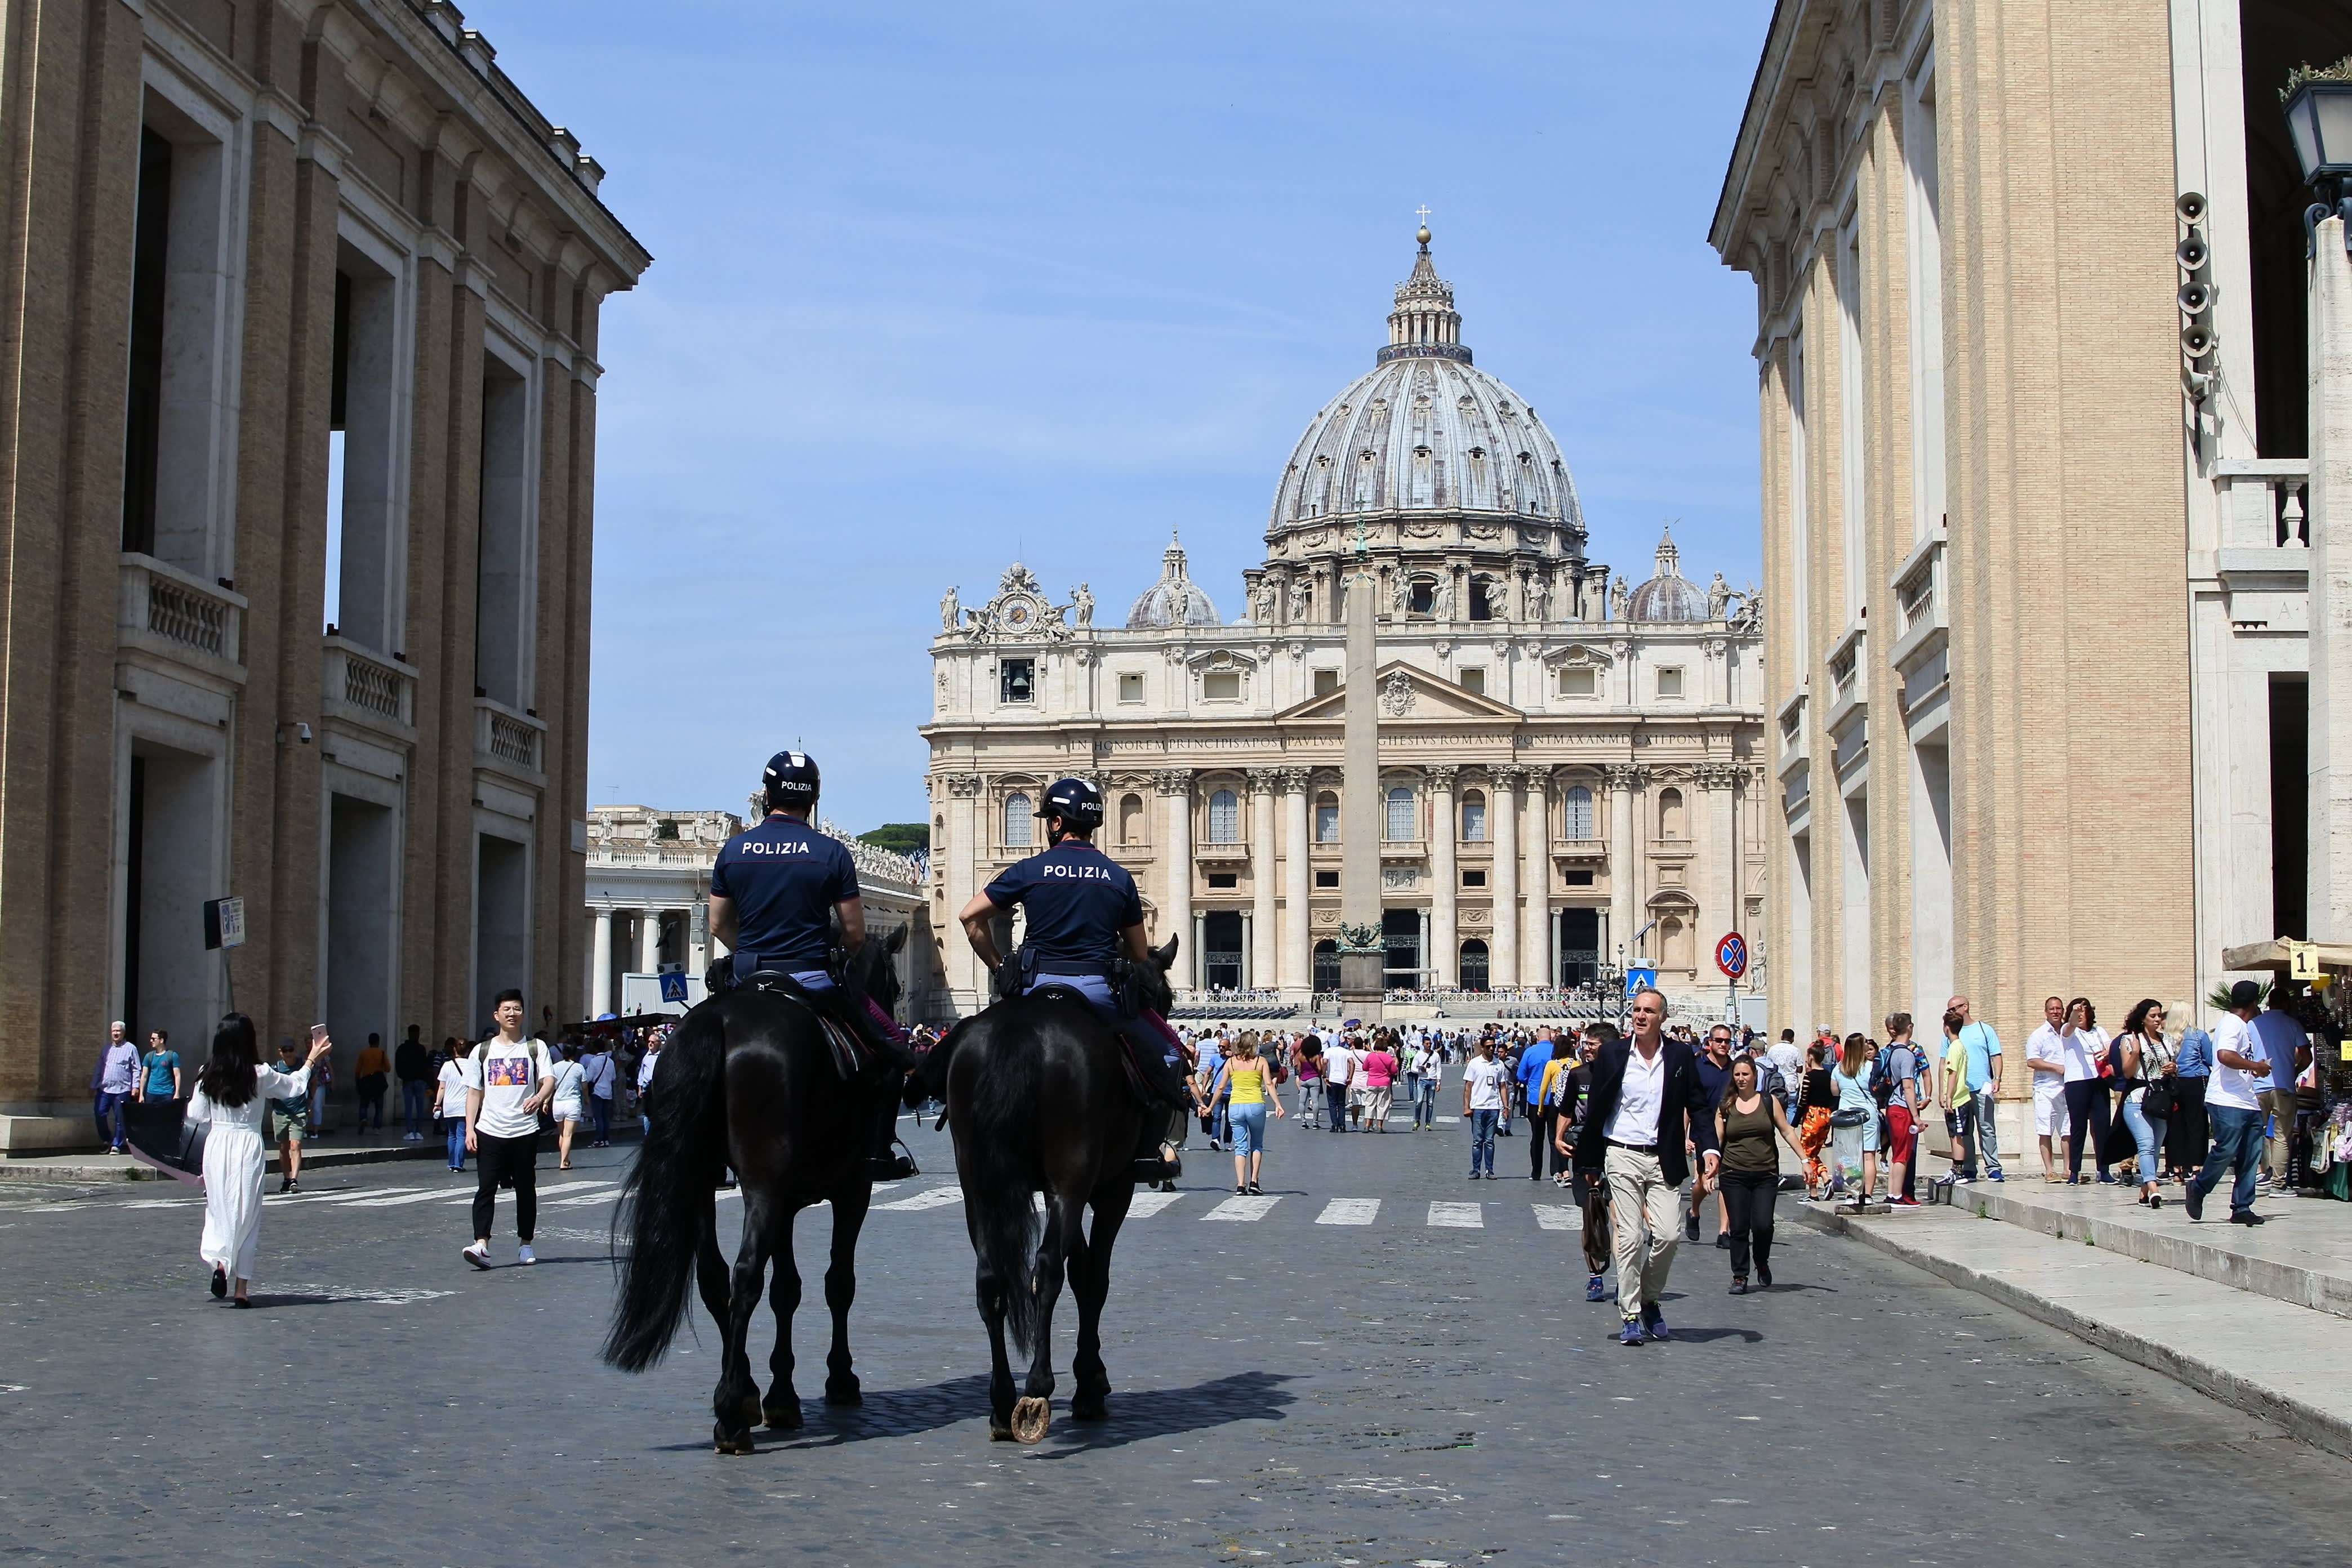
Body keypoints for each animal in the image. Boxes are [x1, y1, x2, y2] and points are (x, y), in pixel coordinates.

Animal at [597, 926, 907, 1457]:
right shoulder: (852, 1189)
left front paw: (781, 1395)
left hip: (702, 1177)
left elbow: (787, 1289)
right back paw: (731, 1417)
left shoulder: (787, 1199)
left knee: (714, 1277)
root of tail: (716, 1023)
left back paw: (741, 1395)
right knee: (743, 1276)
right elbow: (837, 1283)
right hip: (766, 1185)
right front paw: (840, 1379)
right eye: (893, 986)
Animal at [912, 940, 1185, 1438]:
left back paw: (1002, 1402)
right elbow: (1093, 1276)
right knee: (1044, 1269)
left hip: (980, 1183)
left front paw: (1089, 1376)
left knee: (990, 1277)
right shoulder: (1110, 1188)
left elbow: (1080, 1267)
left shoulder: (1062, 1191)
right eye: (1164, 997)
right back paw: (1036, 1391)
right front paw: (1090, 1384)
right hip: (1072, 1175)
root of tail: (1021, 1031)